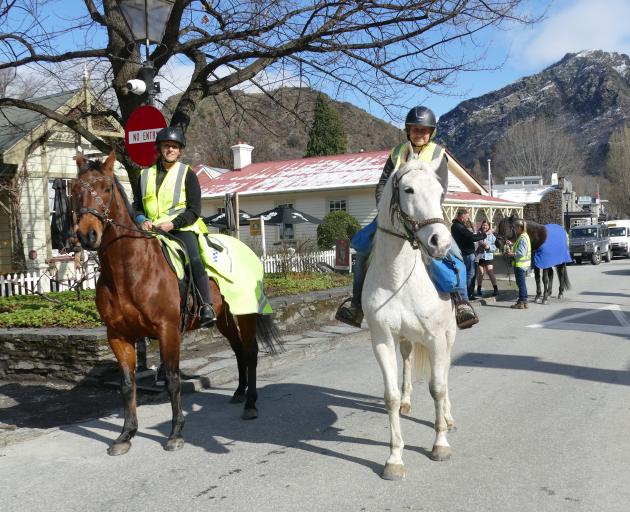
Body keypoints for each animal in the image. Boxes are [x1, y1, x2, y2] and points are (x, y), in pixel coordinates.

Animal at [71, 152, 282, 456]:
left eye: (107, 188)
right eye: (75, 190)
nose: (87, 235)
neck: (129, 270)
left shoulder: (167, 330)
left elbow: (172, 380)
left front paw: (175, 433)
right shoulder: (118, 336)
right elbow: (127, 385)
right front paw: (126, 434)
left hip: (245, 314)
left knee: (251, 352)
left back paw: (250, 404)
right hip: (223, 319)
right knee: (239, 350)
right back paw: (239, 392)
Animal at [366, 141, 460, 480]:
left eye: (441, 192)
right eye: (408, 189)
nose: (440, 242)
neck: (399, 278)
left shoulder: (435, 338)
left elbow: (438, 387)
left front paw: (440, 444)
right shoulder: (381, 338)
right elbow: (390, 396)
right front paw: (394, 459)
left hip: (448, 336)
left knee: (446, 373)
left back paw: (448, 418)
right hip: (405, 338)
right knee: (406, 359)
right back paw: (408, 401)